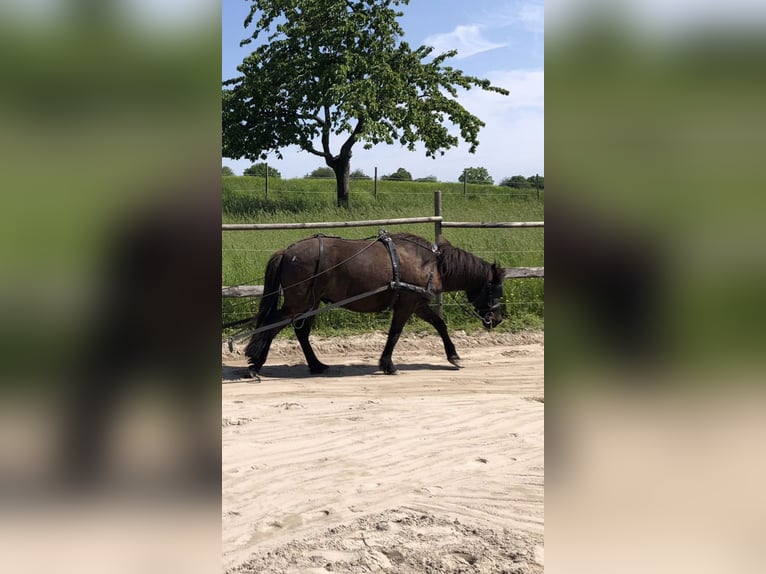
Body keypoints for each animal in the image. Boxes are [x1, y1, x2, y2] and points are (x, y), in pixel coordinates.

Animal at [244, 232, 505, 376]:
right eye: (496, 289)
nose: (498, 318)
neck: (431, 263)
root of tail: (287, 252)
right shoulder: (406, 304)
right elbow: (395, 334)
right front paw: (388, 364)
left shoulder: (418, 304)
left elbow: (440, 324)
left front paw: (453, 356)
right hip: (299, 303)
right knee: (272, 325)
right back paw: (256, 364)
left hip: (311, 303)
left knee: (301, 332)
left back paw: (316, 365)